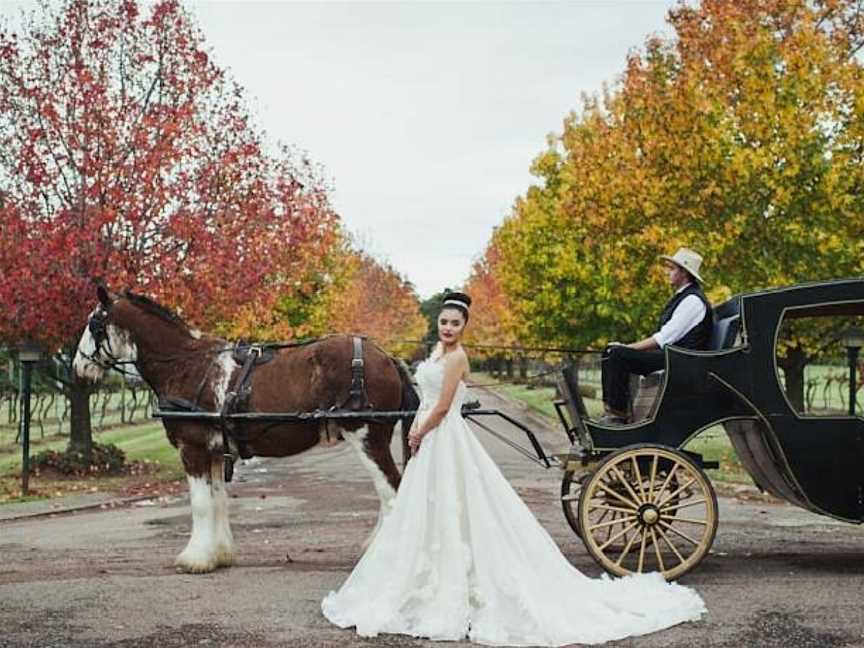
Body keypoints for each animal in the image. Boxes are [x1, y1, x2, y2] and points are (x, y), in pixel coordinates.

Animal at [74, 284, 418, 572]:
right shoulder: (214, 451)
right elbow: (217, 501)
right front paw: (219, 554)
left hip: (366, 436)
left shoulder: (192, 449)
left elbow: (201, 505)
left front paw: (194, 559)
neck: (186, 365)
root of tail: (387, 357)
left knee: (391, 490)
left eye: (93, 324)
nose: (78, 366)